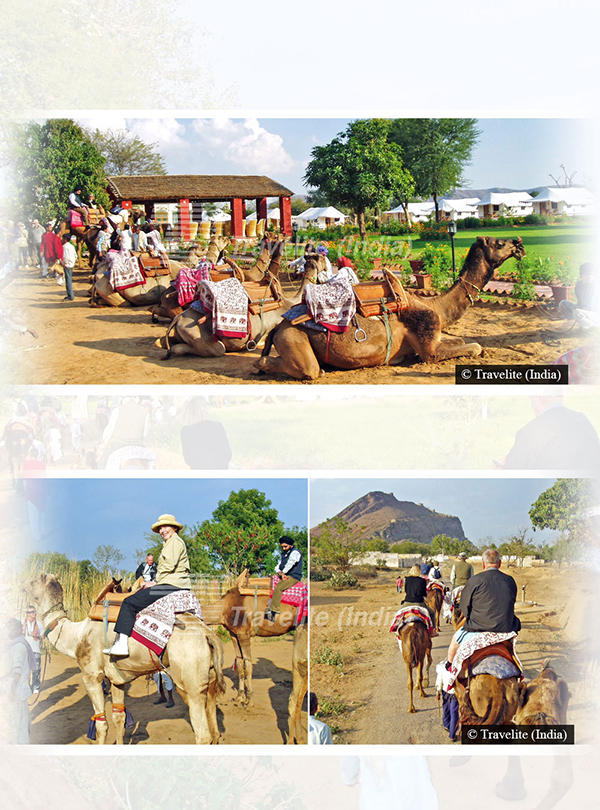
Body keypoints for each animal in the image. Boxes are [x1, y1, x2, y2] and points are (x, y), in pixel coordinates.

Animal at [25, 572, 225, 740]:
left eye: (33, 581)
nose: (23, 584)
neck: (77, 635)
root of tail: (209, 634)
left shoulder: (91, 677)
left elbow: (101, 724)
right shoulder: (116, 680)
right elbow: (118, 718)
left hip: (191, 682)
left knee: (203, 735)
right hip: (208, 679)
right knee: (214, 729)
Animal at [155, 249, 324, 356]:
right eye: (321, 258)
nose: (325, 258)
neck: (289, 301)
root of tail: (178, 319)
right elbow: (261, 341)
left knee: (162, 341)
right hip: (197, 333)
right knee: (216, 349)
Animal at [202, 568, 304, 708]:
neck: (224, 608)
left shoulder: (244, 633)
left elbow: (248, 664)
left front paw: (249, 700)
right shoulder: (234, 634)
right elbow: (239, 663)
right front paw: (239, 697)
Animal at [253, 235, 524, 380]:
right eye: (499, 243)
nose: (519, 243)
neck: (435, 305)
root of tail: (279, 326)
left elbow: (461, 341)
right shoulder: (429, 349)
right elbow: (475, 347)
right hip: (293, 337)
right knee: (304, 368)